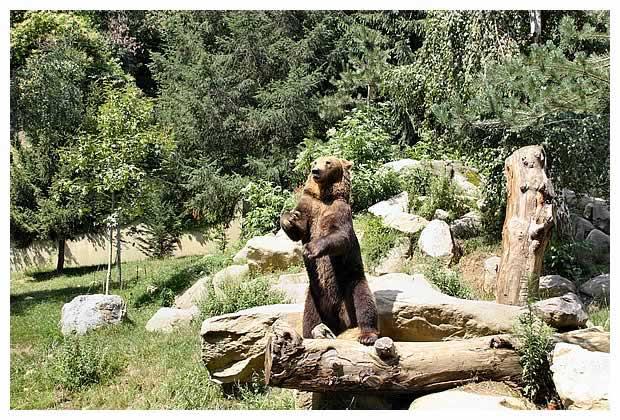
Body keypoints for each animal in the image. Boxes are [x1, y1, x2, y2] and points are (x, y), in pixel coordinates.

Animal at [280, 155, 378, 344]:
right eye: (314, 162)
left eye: (328, 162)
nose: (315, 171)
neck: (324, 196)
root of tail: (340, 319)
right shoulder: (309, 206)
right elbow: (298, 229)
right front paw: (289, 218)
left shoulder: (338, 210)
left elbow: (340, 236)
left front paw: (311, 248)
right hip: (314, 295)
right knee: (310, 318)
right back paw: (310, 334)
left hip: (350, 283)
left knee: (364, 302)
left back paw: (367, 335)